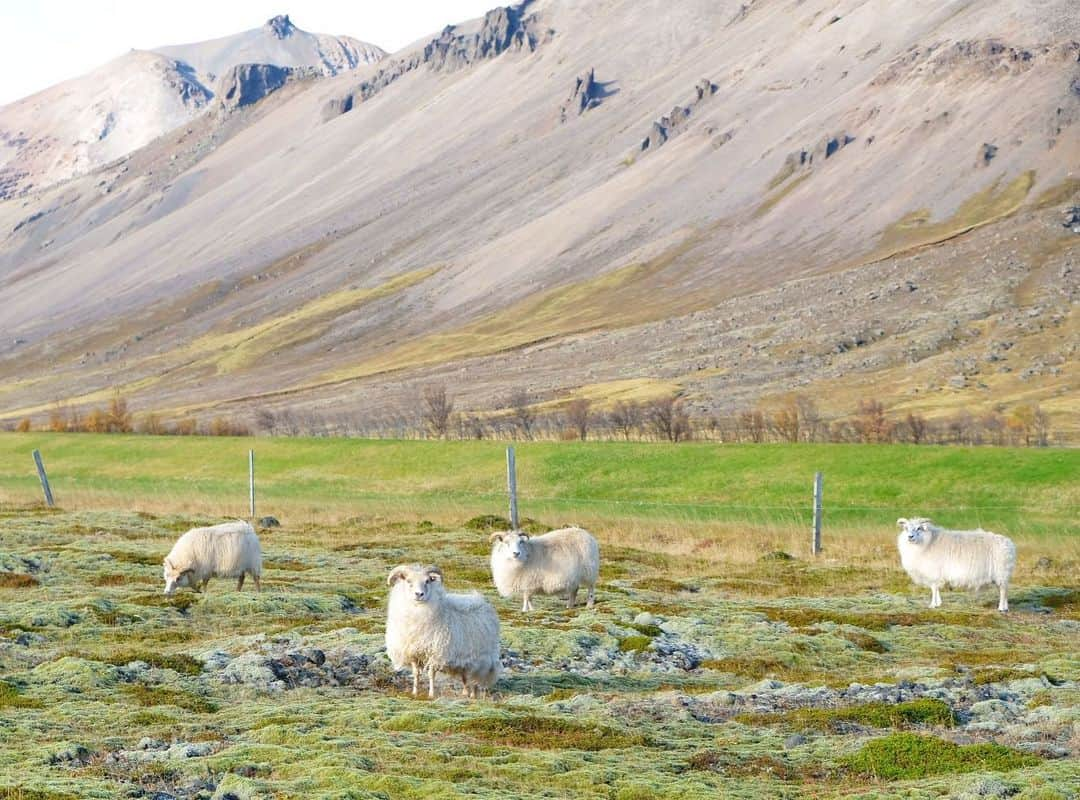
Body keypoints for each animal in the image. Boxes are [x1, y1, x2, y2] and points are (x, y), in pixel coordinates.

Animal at [384, 561, 501, 699]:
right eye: (408, 581)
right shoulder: (413, 652)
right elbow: (416, 673)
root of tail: (482, 601)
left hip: (479, 659)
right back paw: (465, 693)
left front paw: (431, 694)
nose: (419, 594)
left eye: (427, 581)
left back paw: (473, 695)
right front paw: (415, 692)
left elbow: (431, 674)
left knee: (474, 679)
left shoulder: (435, 653)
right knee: (465, 676)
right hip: (465, 660)